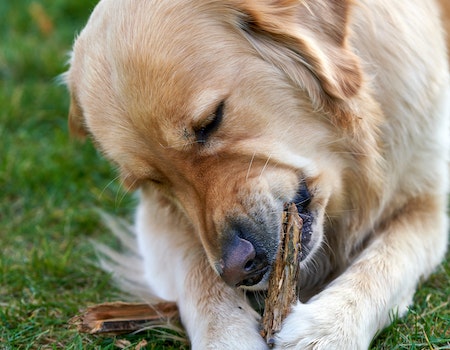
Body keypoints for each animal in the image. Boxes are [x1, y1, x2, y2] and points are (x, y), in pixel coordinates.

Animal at [65, 0, 448, 348]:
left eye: (211, 120)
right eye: (155, 181)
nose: (238, 269)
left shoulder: (426, 203)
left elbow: (386, 261)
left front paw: (328, 327)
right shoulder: (157, 220)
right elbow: (197, 272)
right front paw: (227, 336)